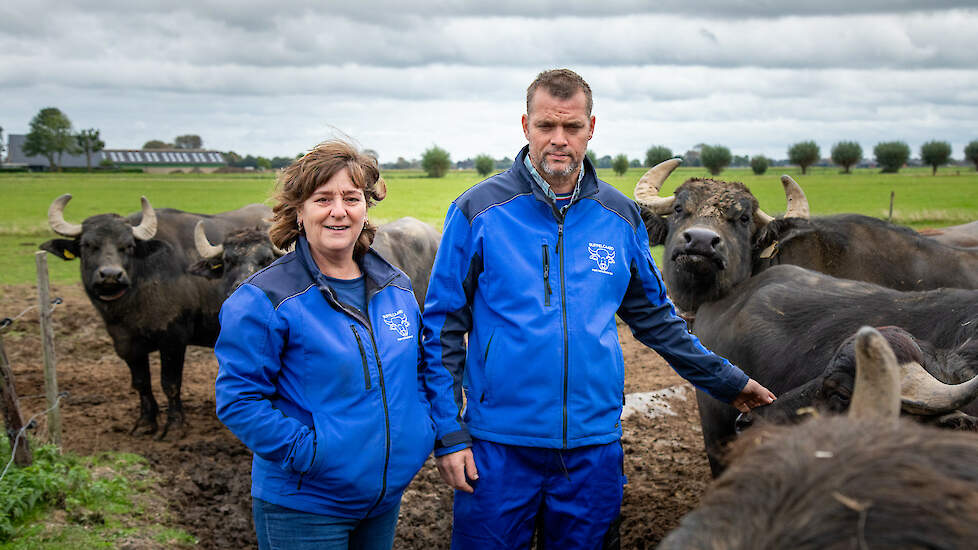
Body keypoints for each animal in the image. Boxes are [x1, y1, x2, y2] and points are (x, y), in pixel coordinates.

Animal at [40, 194, 270, 440]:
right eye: (87, 245)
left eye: (128, 246)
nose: (110, 275)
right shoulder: (125, 343)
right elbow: (141, 382)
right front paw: (145, 423)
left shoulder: (173, 339)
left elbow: (170, 383)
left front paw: (175, 426)